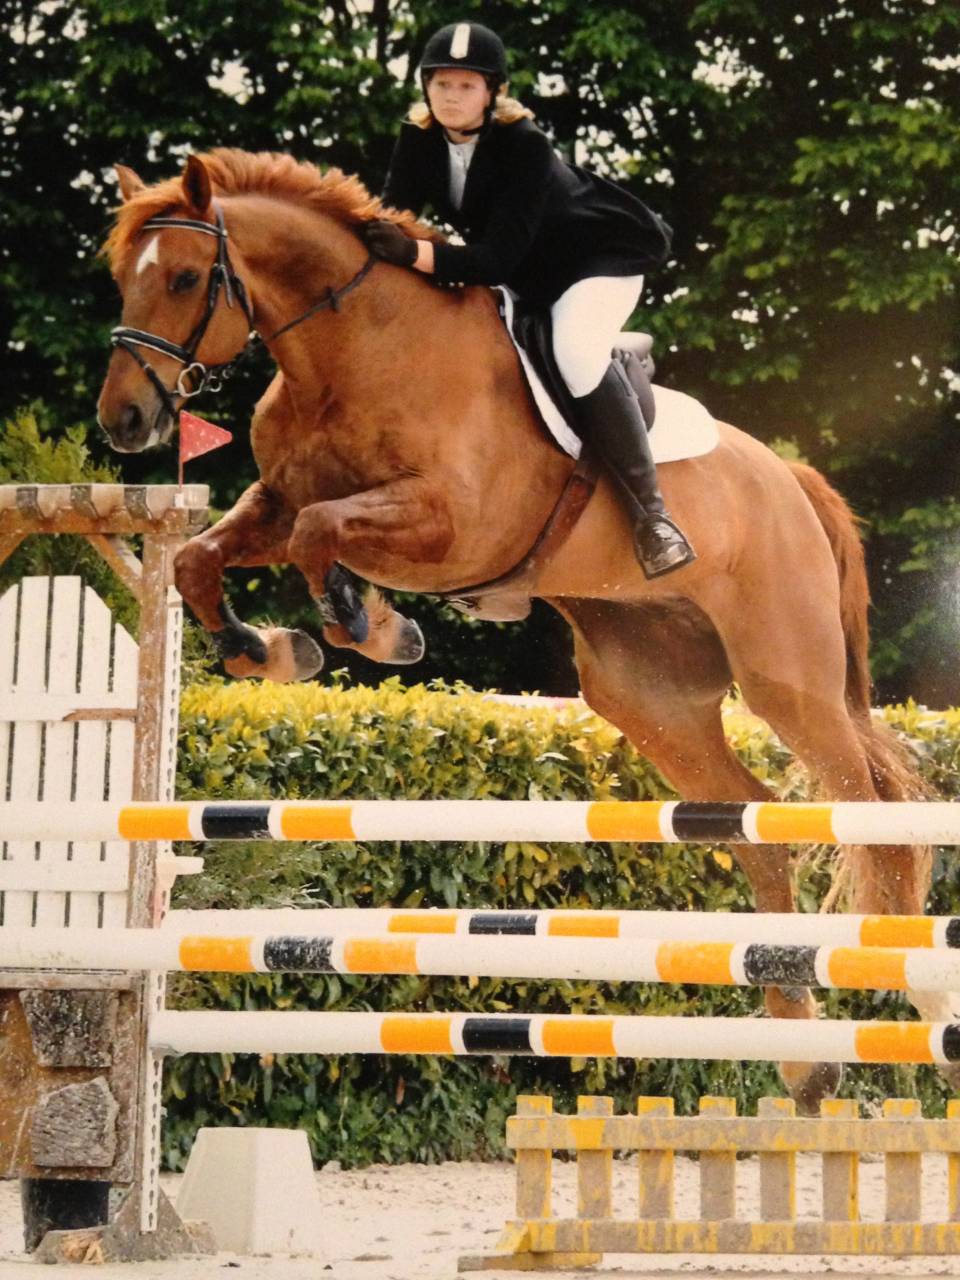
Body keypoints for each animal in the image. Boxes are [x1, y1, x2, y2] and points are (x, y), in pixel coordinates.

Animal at [96, 149, 944, 1111]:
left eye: (185, 278)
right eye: (122, 278)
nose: (124, 422)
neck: (353, 351)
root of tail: (791, 478)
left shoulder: (448, 527)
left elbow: (321, 536)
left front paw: (370, 626)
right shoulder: (277, 504)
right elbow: (203, 561)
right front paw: (272, 649)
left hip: (787, 681)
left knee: (869, 814)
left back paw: (918, 987)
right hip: (648, 697)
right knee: (757, 826)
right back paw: (805, 1058)